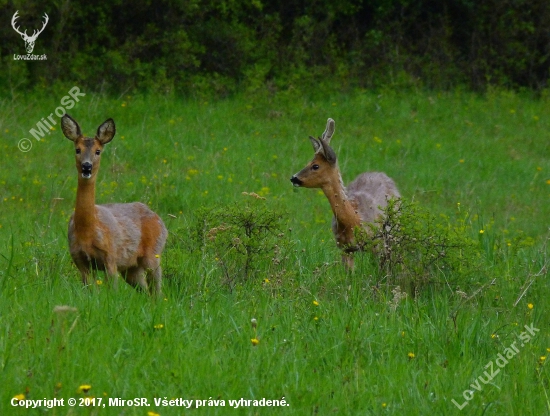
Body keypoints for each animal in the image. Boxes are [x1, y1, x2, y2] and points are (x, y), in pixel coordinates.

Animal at [61, 114, 167, 294]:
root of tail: (159, 219)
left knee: (157, 290)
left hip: (154, 253)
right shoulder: (79, 258)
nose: (87, 166)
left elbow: (113, 291)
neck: (87, 232)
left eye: (98, 151)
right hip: (131, 267)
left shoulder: (110, 256)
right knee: (145, 290)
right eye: (77, 150)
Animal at [292, 117, 404, 270]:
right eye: (308, 162)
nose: (294, 178)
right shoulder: (344, 247)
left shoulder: (376, 242)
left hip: (394, 227)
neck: (354, 220)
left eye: (315, 166)